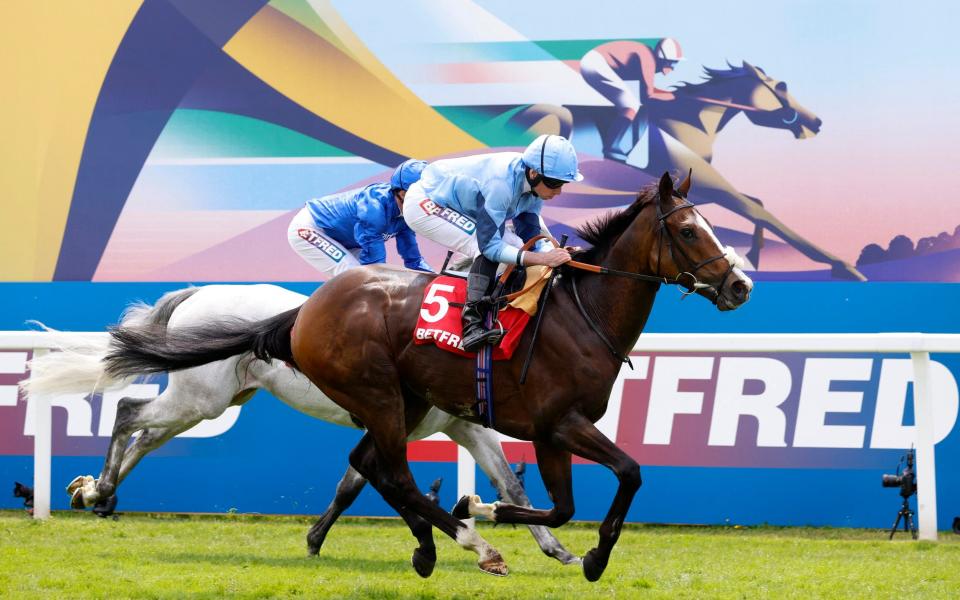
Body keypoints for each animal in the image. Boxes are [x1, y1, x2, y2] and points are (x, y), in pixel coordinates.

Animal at [20, 284, 576, 564]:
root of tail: (195, 293)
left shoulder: (460, 426)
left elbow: (508, 484)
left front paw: (556, 548)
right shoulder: (400, 422)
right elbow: (371, 480)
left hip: (207, 400)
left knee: (146, 434)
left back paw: (95, 490)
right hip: (199, 398)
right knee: (129, 414)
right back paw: (99, 488)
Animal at [101, 172, 752, 580]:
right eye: (689, 230)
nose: (741, 285)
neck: (578, 314)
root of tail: (303, 313)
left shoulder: (531, 430)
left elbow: (556, 500)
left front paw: (572, 552)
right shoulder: (554, 423)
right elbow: (622, 475)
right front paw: (484, 513)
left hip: (381, 402)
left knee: (375, 468)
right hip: (342, 398)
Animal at [506, 62, 868, 282]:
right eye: (781, 85)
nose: (815, 122)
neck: (689, 122)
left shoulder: (694, 185)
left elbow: (758, 204)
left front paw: (752, 255)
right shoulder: (710, 182)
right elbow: (764, 214)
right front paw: (845, 266)